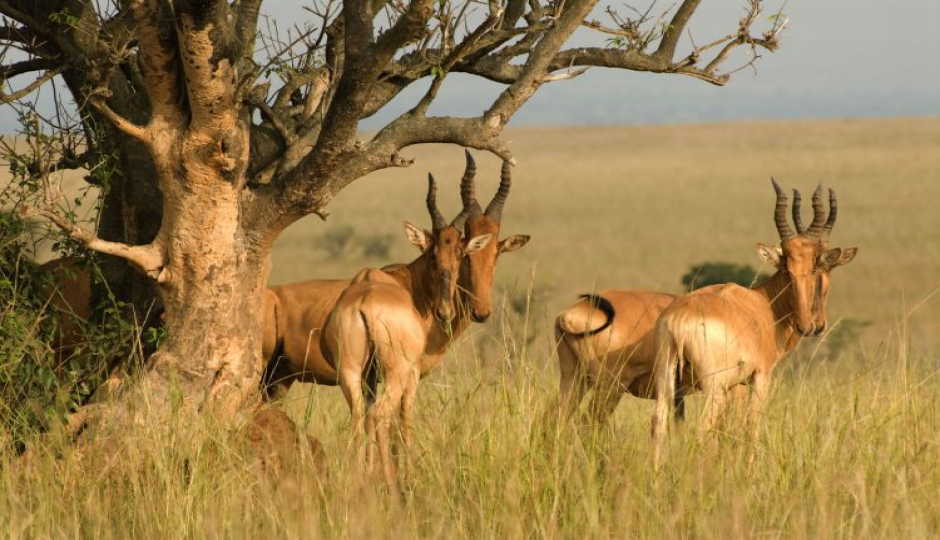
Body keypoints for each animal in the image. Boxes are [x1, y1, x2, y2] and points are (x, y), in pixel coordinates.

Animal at [322, 175, 492, 488]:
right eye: (432, 254)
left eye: (459, 254)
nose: (444, 312)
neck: (404, 283)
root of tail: (366, 301)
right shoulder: (412, 375)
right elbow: (405, 419)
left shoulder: (369, 377)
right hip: (396, 374)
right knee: (380, 415)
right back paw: (392, 483)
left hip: (349, 371)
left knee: (358, 415)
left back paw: (354, 481)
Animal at [648, 179, 856, 462]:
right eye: (790, 270)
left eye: (814, 267)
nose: (811, 326)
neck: (762, 304)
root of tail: (680, 320)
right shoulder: (759, 377)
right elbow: (751, 427)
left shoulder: (735, 385)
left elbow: (729, 432)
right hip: (712, 387)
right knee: (703, 429)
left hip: (666, 379)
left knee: (658, 423)